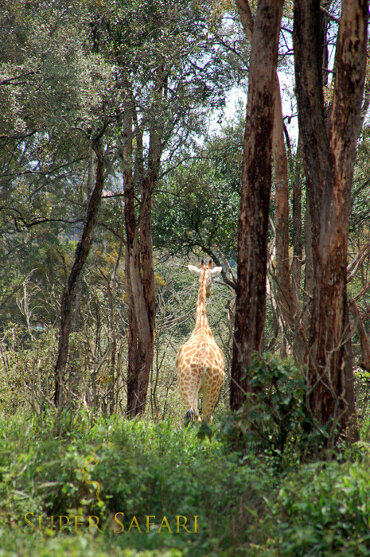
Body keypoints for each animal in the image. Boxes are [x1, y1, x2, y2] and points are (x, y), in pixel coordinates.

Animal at [177, 260, 225, 422]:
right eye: (214, 278)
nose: (209, 293)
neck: (201, 326)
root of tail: (201, 366)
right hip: (211, 390)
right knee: (205, 418)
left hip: (187, 387)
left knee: (192, 415)